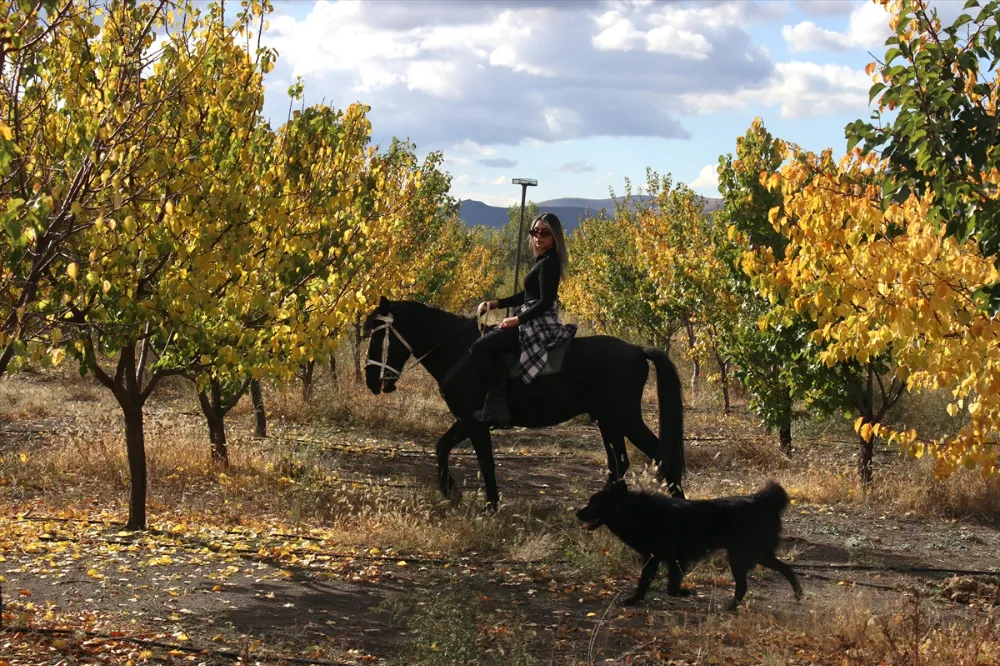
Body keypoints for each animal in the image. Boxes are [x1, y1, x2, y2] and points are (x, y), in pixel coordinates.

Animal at [364, 296, 684, 508]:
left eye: (380, 337)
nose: (370, 381)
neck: (460, 352)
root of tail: (636, 350)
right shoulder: (465, 421)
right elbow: (442, 447)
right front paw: (452, 492)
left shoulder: (474, 423)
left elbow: (485, 462)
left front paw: (491, 506)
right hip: (609, 421)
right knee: (619, 464)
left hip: (625, 418)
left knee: (661, 458)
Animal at [576, 478, 800, 608]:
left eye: (593, 503)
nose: (577, 513)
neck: (636, 512)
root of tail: (759, 501)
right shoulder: (653, 558)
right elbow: (645, 582)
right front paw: (634, 600)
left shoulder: (672, 559)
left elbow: (671, 587)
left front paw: (685, 592)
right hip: (757, 555)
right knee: (786, 569)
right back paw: (798, 595)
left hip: (742, 556)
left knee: (745, 585)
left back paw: (731, 606)